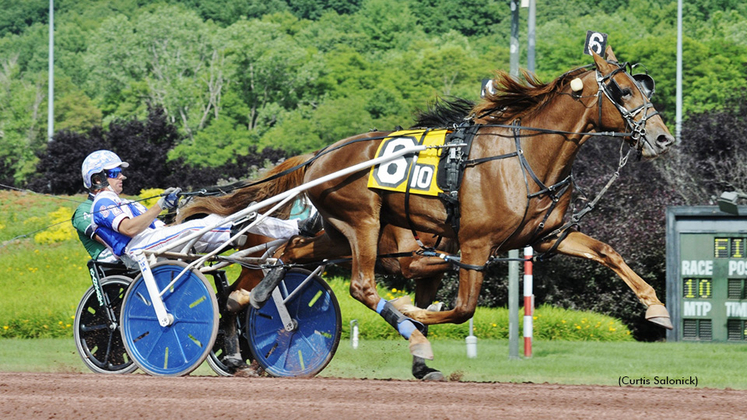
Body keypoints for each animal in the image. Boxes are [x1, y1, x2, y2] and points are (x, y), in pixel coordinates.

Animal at [241, 44, 676, 370]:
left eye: (643, 87)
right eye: (623, 91)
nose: (663, 138)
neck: (523, 158)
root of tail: (319, 155)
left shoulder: (548, 234)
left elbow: (607, 252)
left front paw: (656, 308)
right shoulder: (475, 245)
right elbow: (463, 309)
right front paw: (412, 316)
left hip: (338, 230)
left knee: (289, 249)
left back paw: (260, 291)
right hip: (363, 221)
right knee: (361, 286)